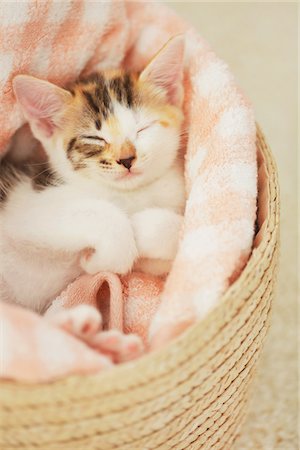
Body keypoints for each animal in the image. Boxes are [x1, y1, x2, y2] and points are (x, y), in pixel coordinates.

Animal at [0, 35, 186, 314]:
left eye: (143, 129)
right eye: (94, 138)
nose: (126, 159)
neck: (129, 195)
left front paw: (142, 228)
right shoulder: (24, 208)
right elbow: (100, 214)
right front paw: (97, 259)